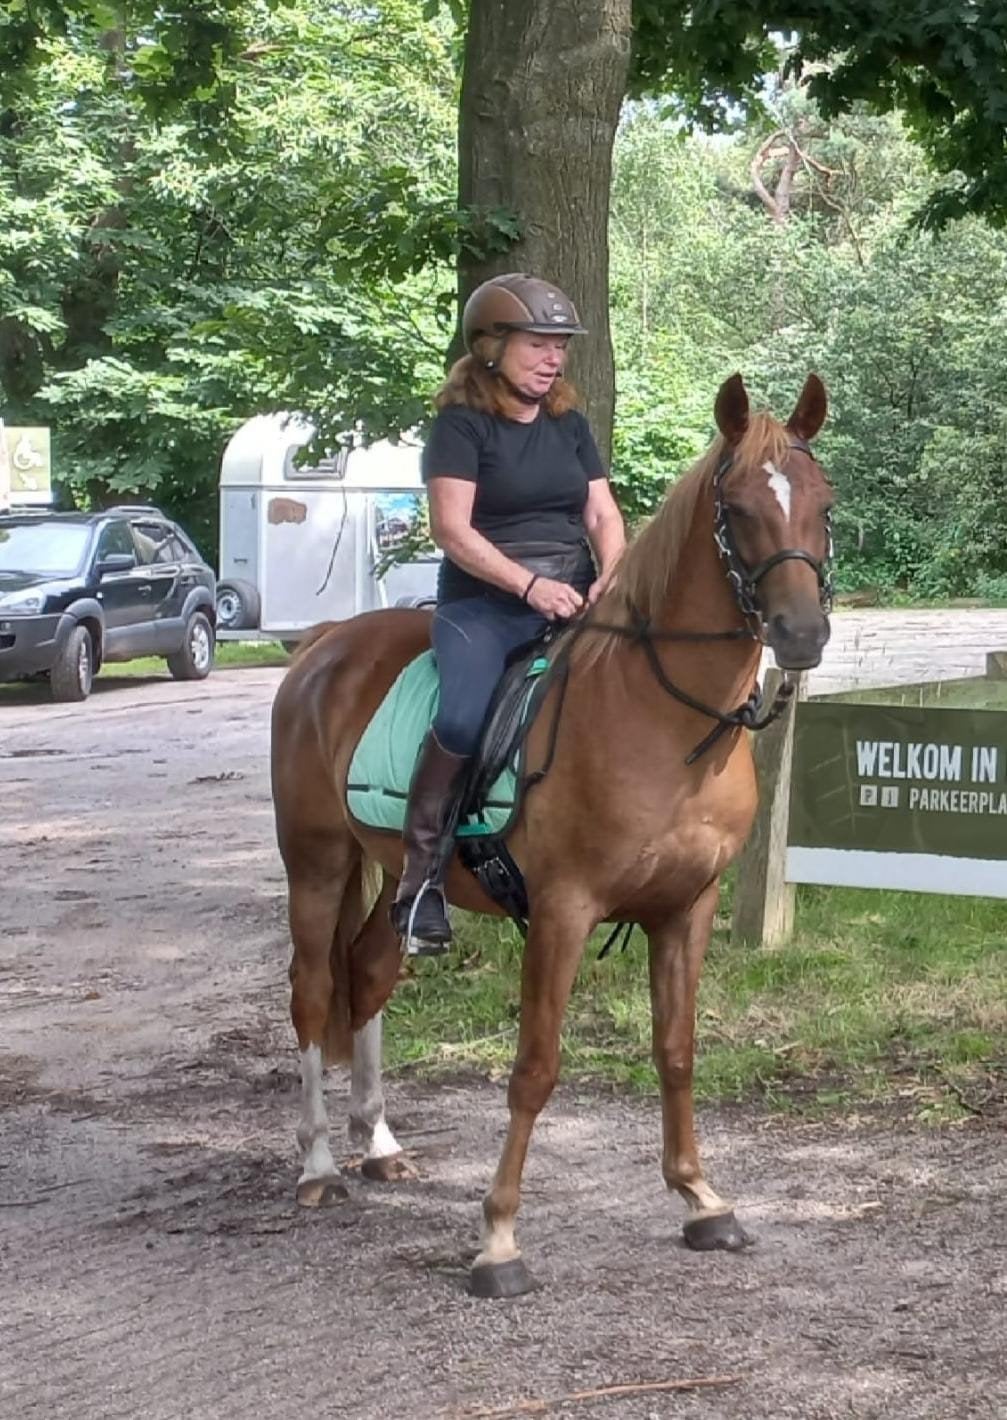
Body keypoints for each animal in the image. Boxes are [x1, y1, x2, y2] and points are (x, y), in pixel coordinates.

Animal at [270, 372, 834, 1296]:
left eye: (823, 502)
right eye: (739, 508)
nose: (801, 634)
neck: (659, 718)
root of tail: (323, 645)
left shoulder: (687, 908)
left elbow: (676, 1049)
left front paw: (700, 1200)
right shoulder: (564, 910)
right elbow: (534, 1068)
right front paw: (498, 1239)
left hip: (397, 878)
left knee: (370, 972)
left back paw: (378, 1145)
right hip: (316, 862)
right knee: (315, 992)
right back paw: (318, 1165)